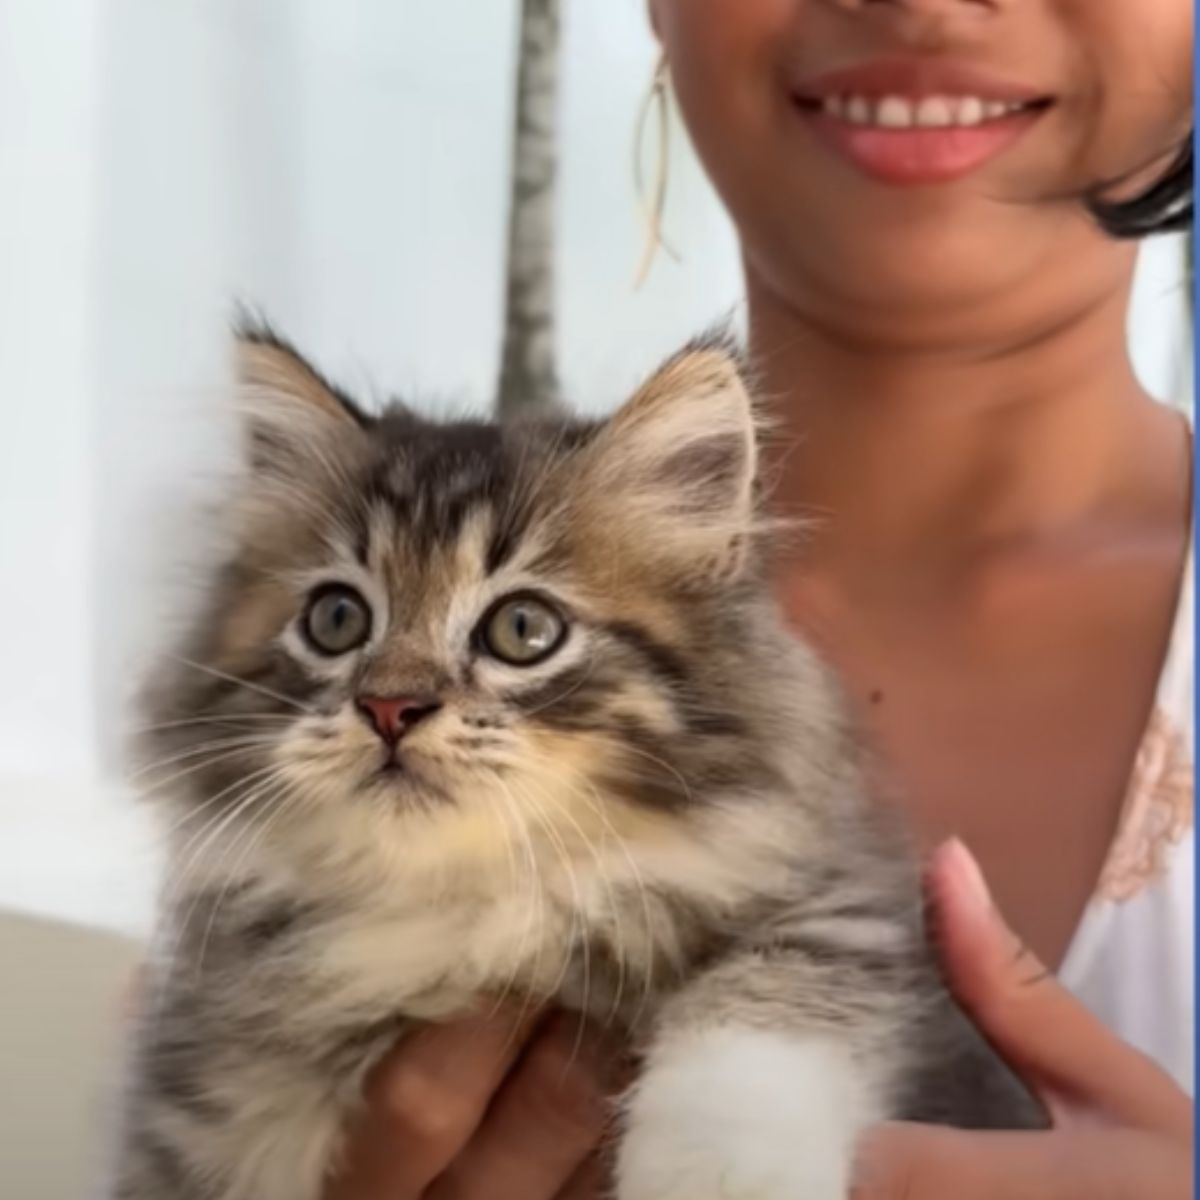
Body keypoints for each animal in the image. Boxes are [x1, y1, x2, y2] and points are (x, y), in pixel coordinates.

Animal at [105, 321, 1041, 1200]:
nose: (389, 709)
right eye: (337, 620)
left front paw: (718, 1181)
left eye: (522, 629)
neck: (462, 910)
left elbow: (759, 1022)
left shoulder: (844, 914)